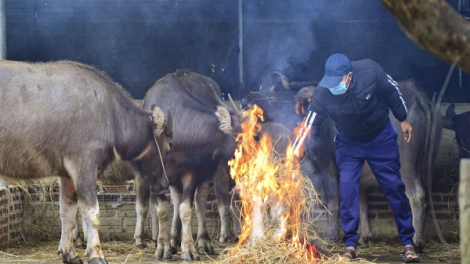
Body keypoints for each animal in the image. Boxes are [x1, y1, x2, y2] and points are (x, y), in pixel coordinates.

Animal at [0, 59, 173, 264]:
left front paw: (70, 254)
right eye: (169, 145)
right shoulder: (84, 166)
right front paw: (98, 253)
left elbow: (67, 213)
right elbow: (94, 214)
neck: (110, 116)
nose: (165, 183)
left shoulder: (66, 174)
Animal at [140, 69, 241, 260]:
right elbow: (162, 210)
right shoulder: (153, 177)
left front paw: (188, 249)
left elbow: (186, 209)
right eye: (241, 135)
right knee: (176, 199)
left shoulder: (192, 173)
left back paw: (202, 242)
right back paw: (173, 241)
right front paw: (163, 246)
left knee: (199, 201)